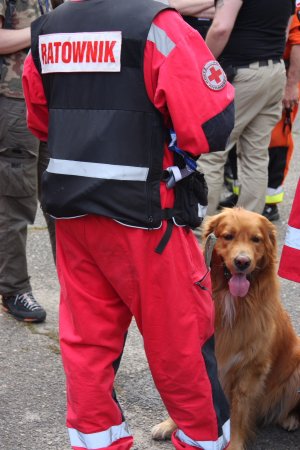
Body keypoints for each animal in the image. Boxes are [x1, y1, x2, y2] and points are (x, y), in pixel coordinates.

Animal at [151, 208, 300, 450]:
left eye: (256, 239)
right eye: (228, 236)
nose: (242, 262)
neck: (232, 301)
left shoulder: (251, 369)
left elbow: (239, 412)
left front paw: (235, 443)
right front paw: (172, 424)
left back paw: (290, 419)